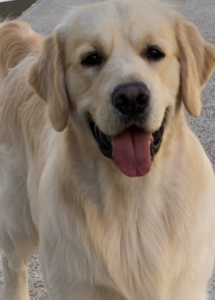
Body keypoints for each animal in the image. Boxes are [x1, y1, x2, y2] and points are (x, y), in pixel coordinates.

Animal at [0, 0, 215, 298]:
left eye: (154, 52)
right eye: (91, 58)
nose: (132, 97)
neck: (133, 196)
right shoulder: (73, 284)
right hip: (16, 218)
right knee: (13, 265)